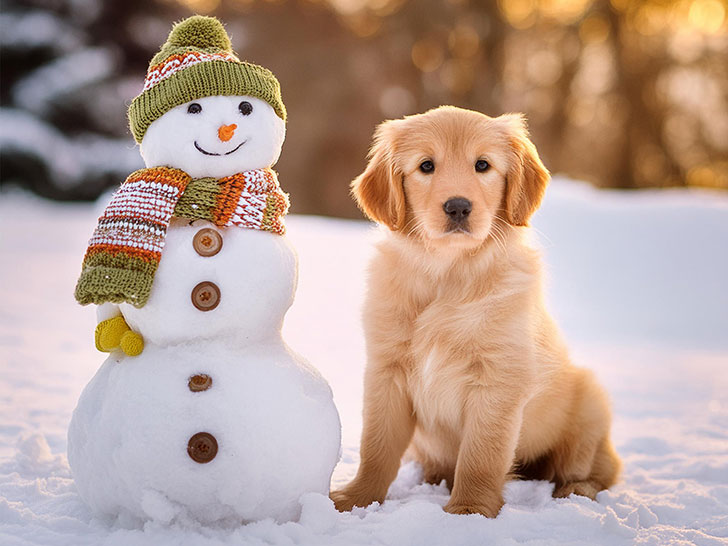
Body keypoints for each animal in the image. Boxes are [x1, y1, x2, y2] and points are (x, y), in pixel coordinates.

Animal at [330, 105, 620, 516]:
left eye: (483, 165)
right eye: (426, 166)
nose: (458, 206)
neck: (448, 274)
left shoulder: (497, 380)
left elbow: (482, 453)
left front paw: (469, 510)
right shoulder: (386, 372)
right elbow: (378, 446)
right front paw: (356, 499)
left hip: (590, 405)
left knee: (598, 470)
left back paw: (575, 490)